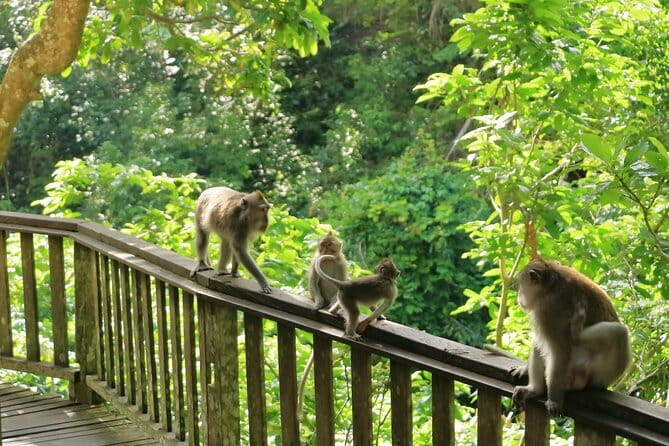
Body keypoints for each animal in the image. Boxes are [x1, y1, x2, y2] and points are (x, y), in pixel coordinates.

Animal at [511, 259, 631, 416]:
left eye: (521, 285)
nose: (519, 296)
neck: (550, 285)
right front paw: (525, 370)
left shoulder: (549, 311)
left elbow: (560, 352)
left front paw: (554, 401)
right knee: (540, 343)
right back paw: (534, 389)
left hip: (583, 372)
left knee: (619, 333)